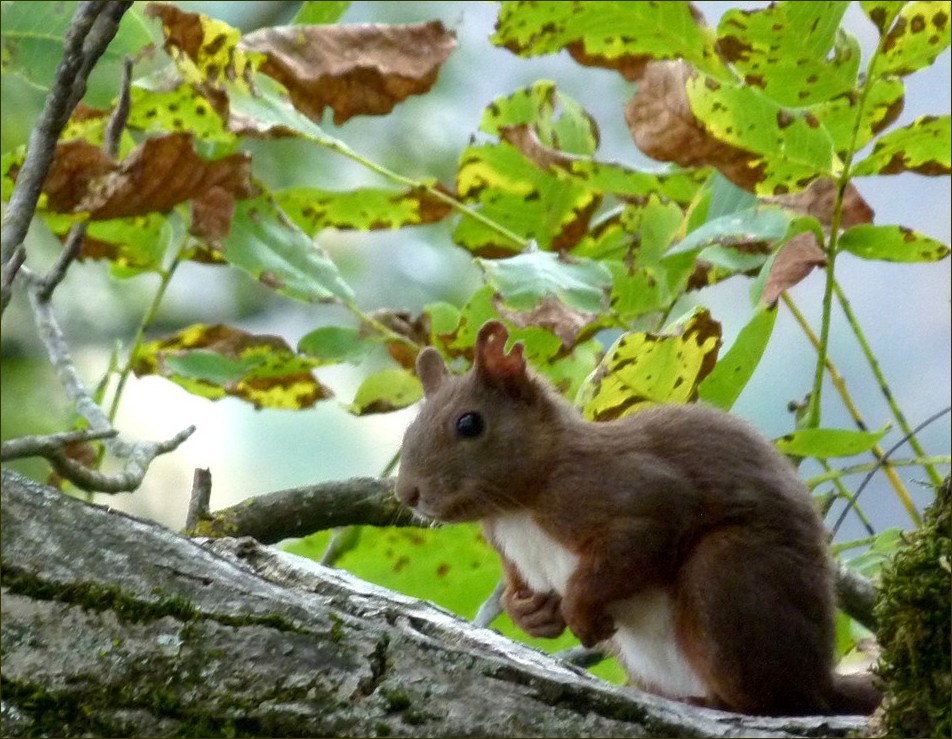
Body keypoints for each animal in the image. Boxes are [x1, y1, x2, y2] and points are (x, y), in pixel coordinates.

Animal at [392, 322, 876, 716]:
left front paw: (578, 607)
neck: (515, 510)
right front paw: (529, 613)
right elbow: (518, 592)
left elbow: (640, 538)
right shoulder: (511, 553)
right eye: (409, 428)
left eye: (469, 424)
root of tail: (820, 680)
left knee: (778, 700)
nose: (406, 493)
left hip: (729, 580)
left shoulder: (629, 494)